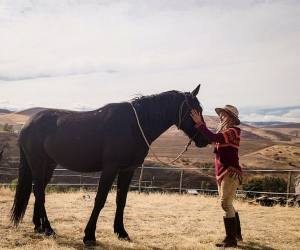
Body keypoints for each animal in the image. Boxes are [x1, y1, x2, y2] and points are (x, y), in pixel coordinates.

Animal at [11, 85, 209, 245]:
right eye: (195, 110)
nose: (205, 139)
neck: (134, 125)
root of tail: (27, 125)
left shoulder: (128, 170)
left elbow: (121, 200)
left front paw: (121, 232)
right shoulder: (110, 168)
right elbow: (100, 199)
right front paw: (89, 236)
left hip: (49, 165)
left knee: (38, 190)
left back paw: (39, 226)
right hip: (37, 163)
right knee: (39, 192)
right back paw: (48, 228)